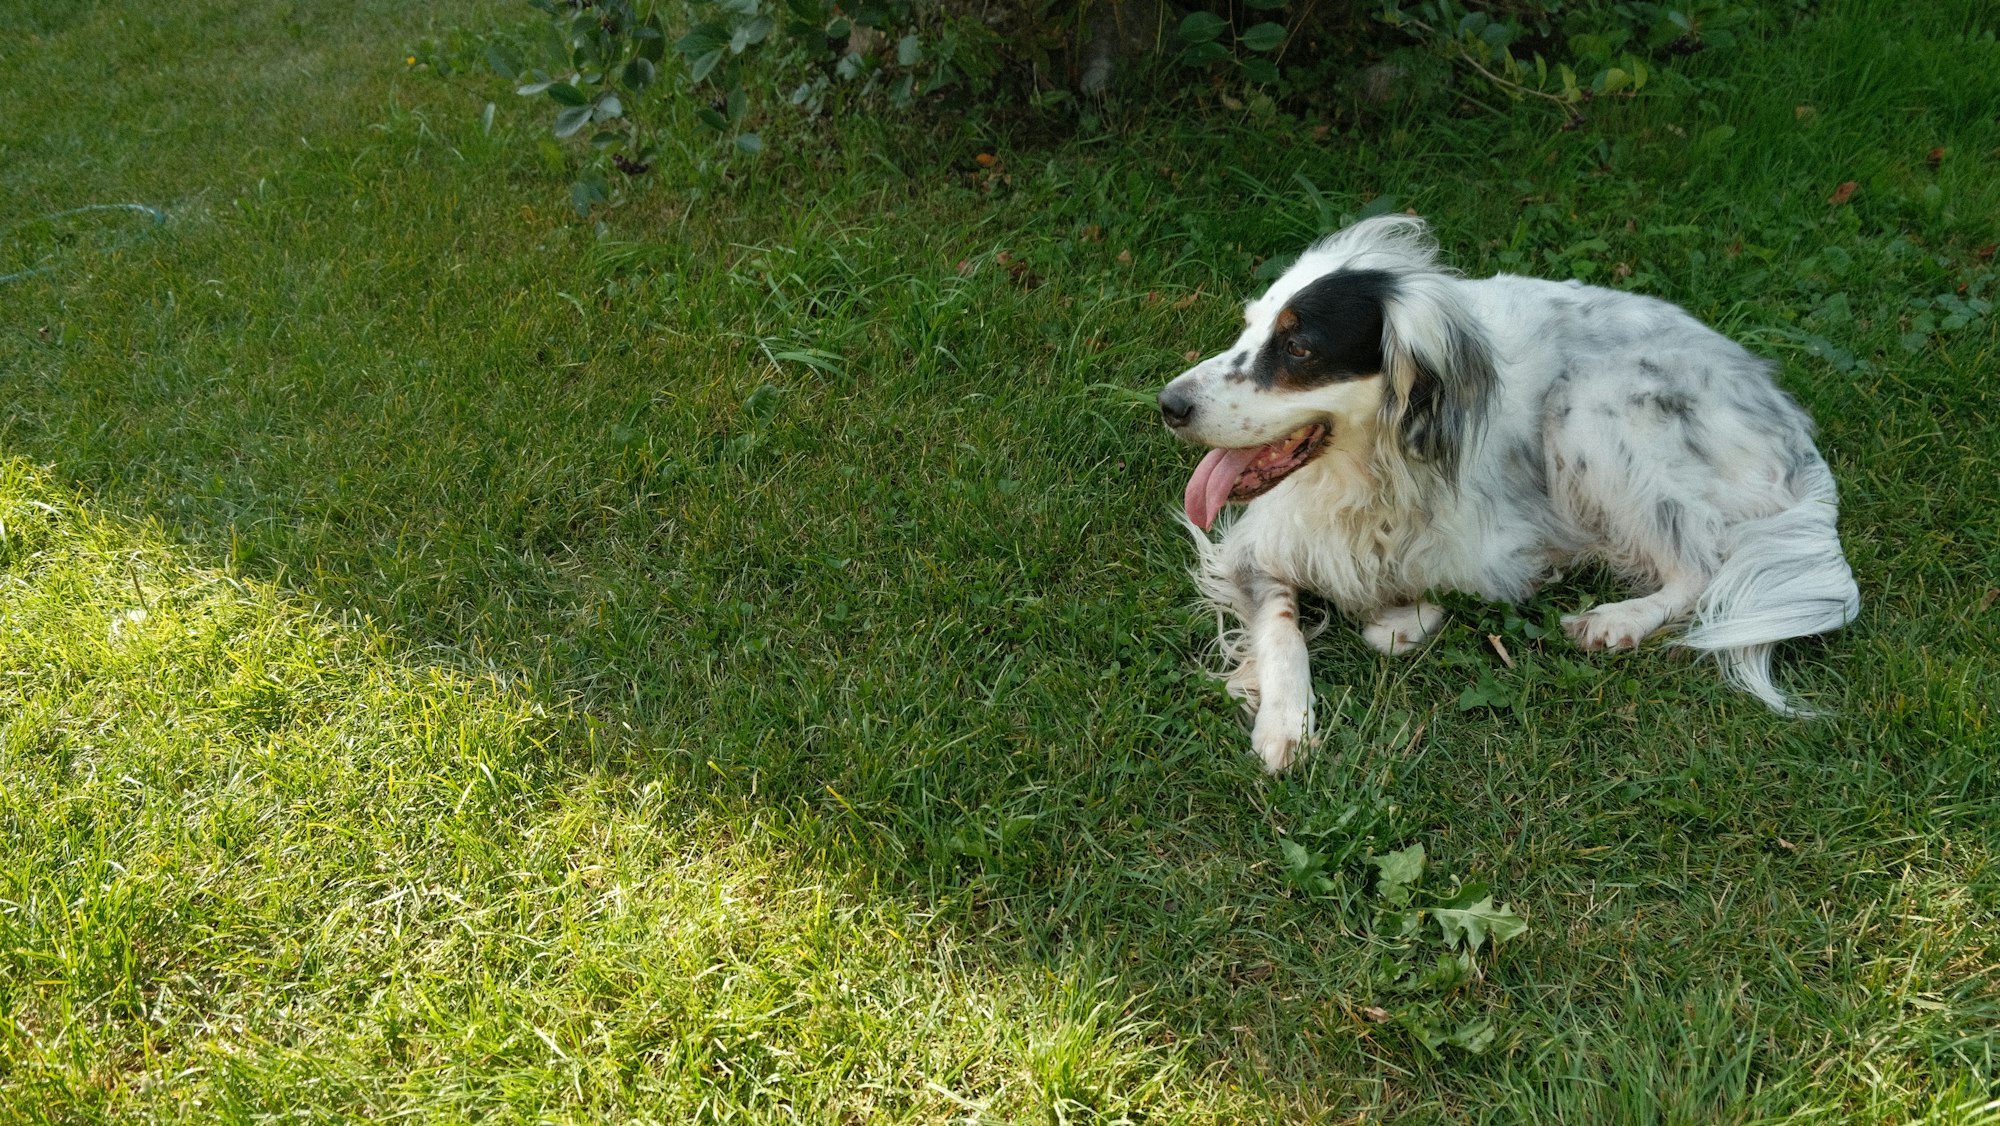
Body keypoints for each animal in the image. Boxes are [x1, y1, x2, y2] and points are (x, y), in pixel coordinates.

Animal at [1160, 215, 1856, 772]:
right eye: (1248, 328)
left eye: (1299, 347)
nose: (1169, 404)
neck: (1375, 476)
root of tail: (1788, 422)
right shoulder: (1256, 548)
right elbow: (1282, 627)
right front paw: (1283, 715)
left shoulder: (1503, 551)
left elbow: (1444, 597)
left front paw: (1397, 622)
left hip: (1589, 407)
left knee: (1700, 567)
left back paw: (1620, 619)